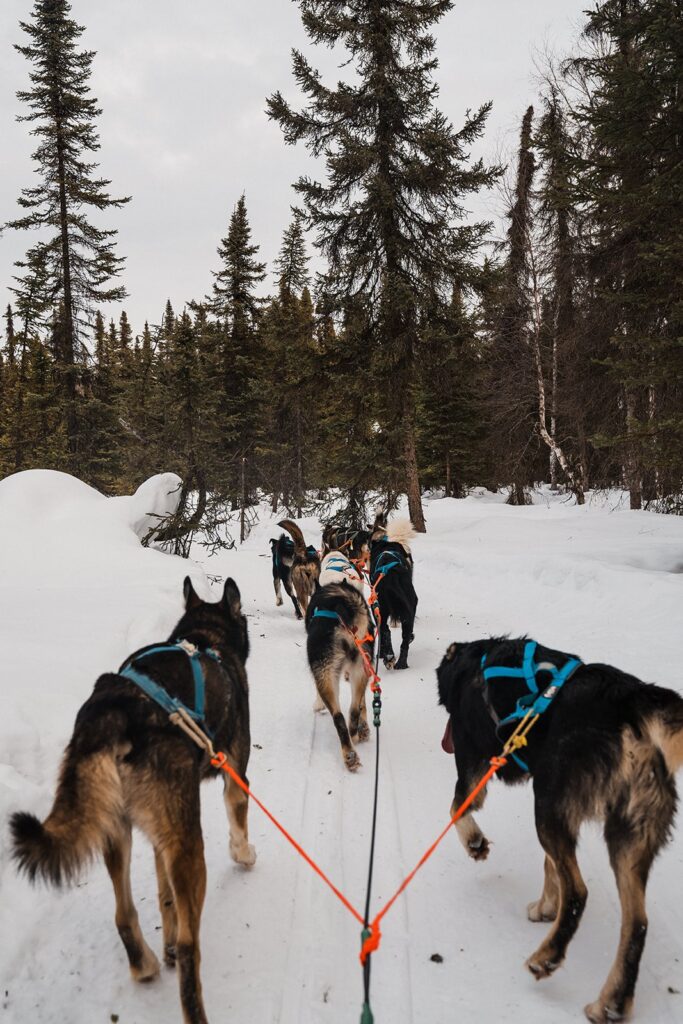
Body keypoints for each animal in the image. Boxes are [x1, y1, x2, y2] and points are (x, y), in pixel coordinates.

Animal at [10, 581, 255, 1019]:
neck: (204, 637)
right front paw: (244, 855)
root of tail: (115, 709)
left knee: (124, 914)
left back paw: (146, 964)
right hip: (188, 845)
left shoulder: (159, 836)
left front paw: (167, 935)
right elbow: (238, 826)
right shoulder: (235, 774)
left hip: (119, 830)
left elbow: (164, 895)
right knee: (191, 948)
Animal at [307, 581, 374, 770]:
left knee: (338, 717)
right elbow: (363, 704)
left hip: (325, 673)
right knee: (354, 709)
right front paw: (364, 728)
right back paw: (354, 738)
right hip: (361, 670)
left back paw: (348, 754)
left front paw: (318, 705)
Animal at [368, 512, 417, 671]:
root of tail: (392, 576)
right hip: (409, 606)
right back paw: (400, 662)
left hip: (380, 607)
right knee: (404, 639)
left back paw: (388, 656)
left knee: (386, 630)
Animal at [438, 634, 683, 1019]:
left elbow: (457, 809)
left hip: (547, 805)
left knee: (578, 892)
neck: (475, 660)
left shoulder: (473, 762)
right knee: (636, 923)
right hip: (624, 834)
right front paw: (545, 907)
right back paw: (611, 1002)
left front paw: (475, 843)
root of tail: (633, 702)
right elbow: (549, 865)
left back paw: (547, 957)